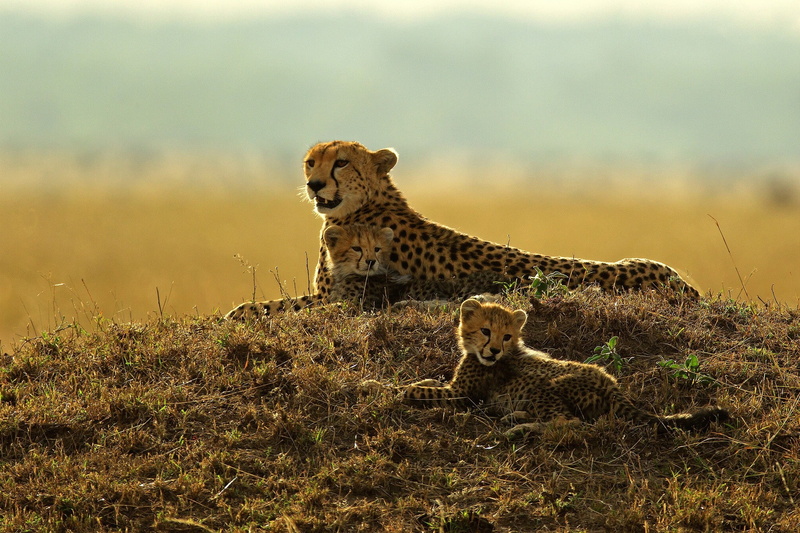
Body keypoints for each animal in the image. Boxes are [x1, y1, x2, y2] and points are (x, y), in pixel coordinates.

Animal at [225, 141, 699, 320]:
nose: (315, 184)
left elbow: (269, 307)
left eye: (341, 162)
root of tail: (684, 285)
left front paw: (237, 313)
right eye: (311, 162)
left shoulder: (339, 299)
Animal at [399, 298, 729, 437]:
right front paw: (420, 381)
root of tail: (611, 382)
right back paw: (518, 416)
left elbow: (415, 393)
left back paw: (520, 429)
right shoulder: (456, 386)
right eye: (485, 331)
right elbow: (432, 382)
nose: (494, 351)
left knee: (571, 423)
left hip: (548, 385)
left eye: (506, 336)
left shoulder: (463, 395)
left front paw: (397, 388)